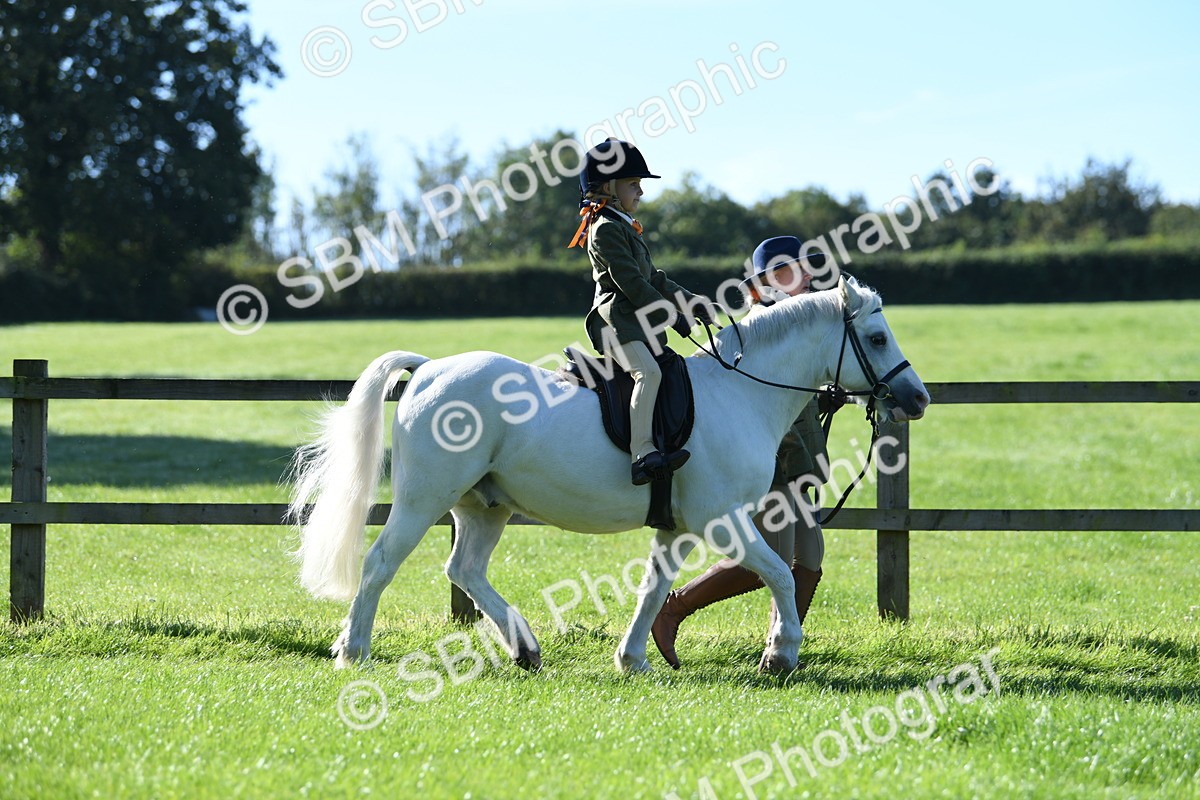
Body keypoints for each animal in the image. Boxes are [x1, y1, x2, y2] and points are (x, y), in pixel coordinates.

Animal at [289, 275, 930, 674]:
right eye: (876, 337)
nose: (917, 399)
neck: (741, 393)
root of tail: (427, 371)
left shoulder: (677, 528)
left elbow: (654, 589)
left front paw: (633, 658)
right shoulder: (723, 520)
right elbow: (777, 573)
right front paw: (781, 653)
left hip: (483, 505)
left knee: (464, 569)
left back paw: (524, 647)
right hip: (424, 499)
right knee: (380, 564)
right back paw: (353, 650)